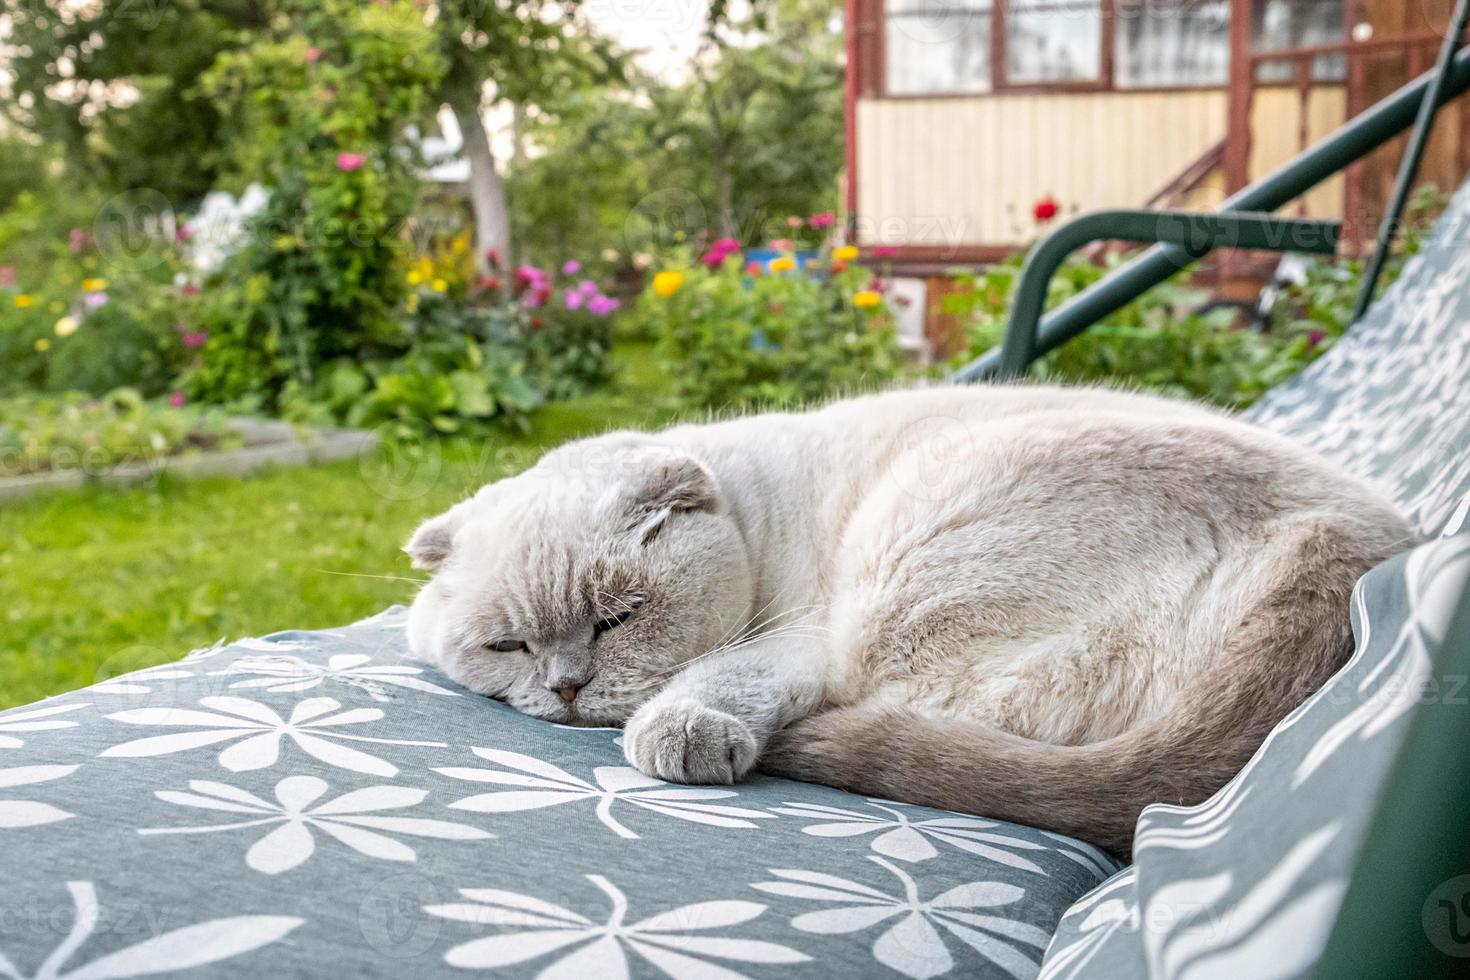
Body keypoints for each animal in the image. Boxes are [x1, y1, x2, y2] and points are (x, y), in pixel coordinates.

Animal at [405, 387, 1411, 852]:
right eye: (508, 647)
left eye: (617, 619)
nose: (568, 688)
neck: (758, 520)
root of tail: (1350, 545)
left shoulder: (804, 634)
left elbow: (722, 678)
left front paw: (680, 732)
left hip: (908, 561)